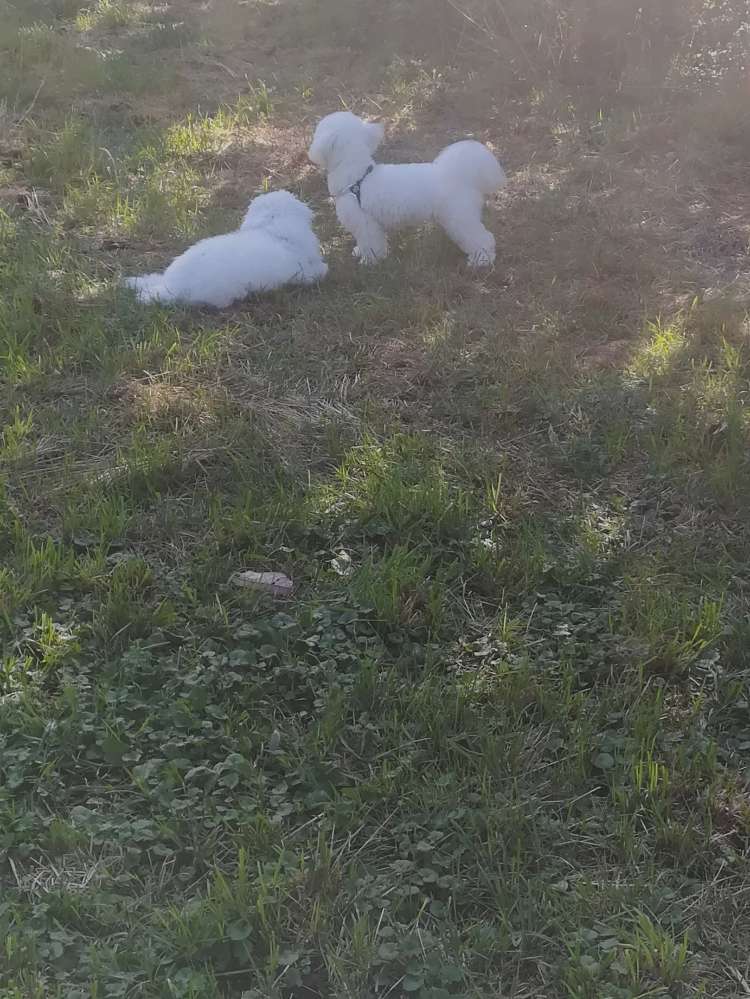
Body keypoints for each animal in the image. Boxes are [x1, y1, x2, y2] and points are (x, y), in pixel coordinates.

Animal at [308, 111, 508, 268]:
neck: (357, 178)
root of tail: (460, 175)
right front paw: (359, 252)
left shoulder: (366, 225)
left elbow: (371, 246)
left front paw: (368, 262)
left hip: (459, 218)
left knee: (483, 238)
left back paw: (481, 261)